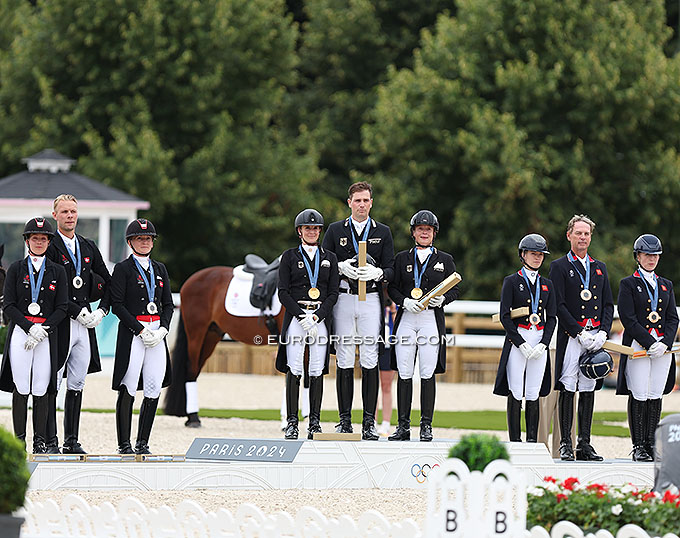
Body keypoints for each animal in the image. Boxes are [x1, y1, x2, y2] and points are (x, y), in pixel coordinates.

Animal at [163, 262, 282, 422]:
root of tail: (191, 280)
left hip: (211, 335)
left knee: (197, 368)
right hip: (196, 334)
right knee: (191, 368)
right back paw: (193, 418)